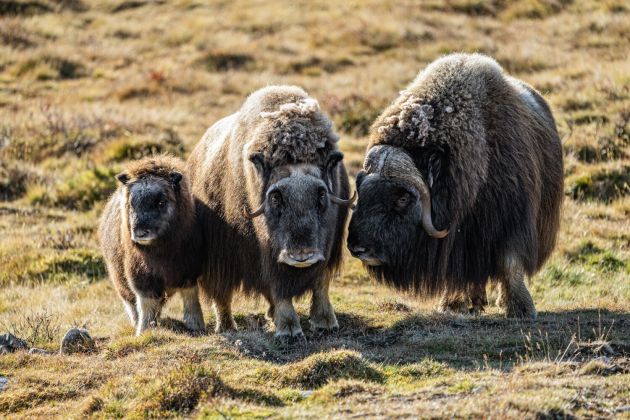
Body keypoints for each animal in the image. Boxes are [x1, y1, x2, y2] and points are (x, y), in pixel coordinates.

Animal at [98, 156, 205, 336]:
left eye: (161, 202)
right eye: (131, 203)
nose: (140, 233)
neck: (161, 251)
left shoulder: (188, 269)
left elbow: (190, 296)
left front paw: (196, 326)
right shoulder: (140, 274)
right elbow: (146, 303)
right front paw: (144, 330)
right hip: (120, 279)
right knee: (131, 303)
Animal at [188, 87, 356, 340]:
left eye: (321, 195)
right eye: (276, 197)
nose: (302, 256)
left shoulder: (328, 246)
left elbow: (321, 283)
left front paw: (326, 323)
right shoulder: (266, 253)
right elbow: (278, 287)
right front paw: (289, 330)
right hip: (217, 259)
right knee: (221, 294)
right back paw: (227, 327)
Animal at [348, 55, 564, 318]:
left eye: (402, 198)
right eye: (361, 191)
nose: (358, 248)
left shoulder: (512, 219)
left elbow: (510, 262)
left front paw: (520, 308)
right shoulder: (457, 239)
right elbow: (457, 271)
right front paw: (453, 305)